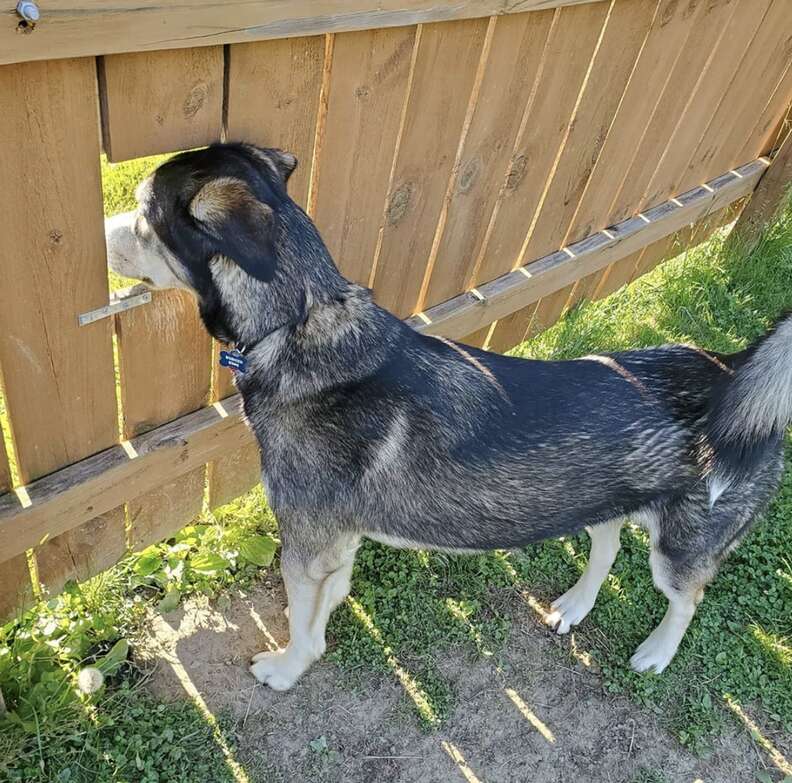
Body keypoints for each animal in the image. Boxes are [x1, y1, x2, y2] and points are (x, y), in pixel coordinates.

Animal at [106, 142, 792, 692]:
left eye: (142, 216)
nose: (100, 233)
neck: (299, 322)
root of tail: (730, 371)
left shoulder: (306, 545)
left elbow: (304, 626)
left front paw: (286, 669)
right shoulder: (336, 544)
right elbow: (327, 606)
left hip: (679, 549)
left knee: (687, 598)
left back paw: (657, 651)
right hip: (601, 501)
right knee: (606, 544)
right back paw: (576, 604)